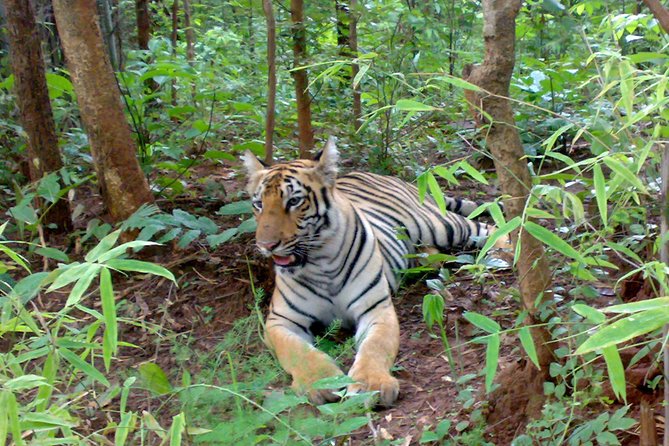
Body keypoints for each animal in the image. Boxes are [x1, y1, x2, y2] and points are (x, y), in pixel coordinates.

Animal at [241, 138, 506, 406]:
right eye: (258, 204)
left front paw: (371, 384)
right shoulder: (280, 320)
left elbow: (374, 346)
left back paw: (506, 249)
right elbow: (298, 351)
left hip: (438, 224)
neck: (320, 262)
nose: (266, 245)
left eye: (294, 201)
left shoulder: (376, 309)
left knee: (484, 226)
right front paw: (321, 382)